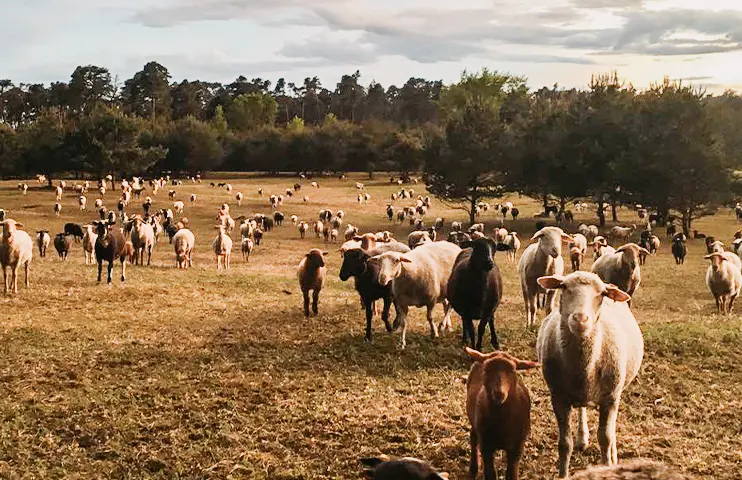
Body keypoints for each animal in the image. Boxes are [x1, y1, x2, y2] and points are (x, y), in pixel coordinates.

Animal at [464, 348, 540, 480]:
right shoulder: (486, 445)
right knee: (473, 436)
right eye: (487, 369)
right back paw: (473, 468)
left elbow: (511, 473)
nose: (499, 393)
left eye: (513, 370)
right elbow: (490, 474)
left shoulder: (517, 447)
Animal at [536, 272, 648, 478]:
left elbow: (605, 438)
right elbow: (564, 444)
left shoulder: (610, 397)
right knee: (582, 409)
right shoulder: (558, 398)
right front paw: (563, 474)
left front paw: (608, 463)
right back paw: (583, 438)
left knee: (611, 428)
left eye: (602, 294)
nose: (580, 319)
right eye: (564, 287)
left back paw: (613, 455)